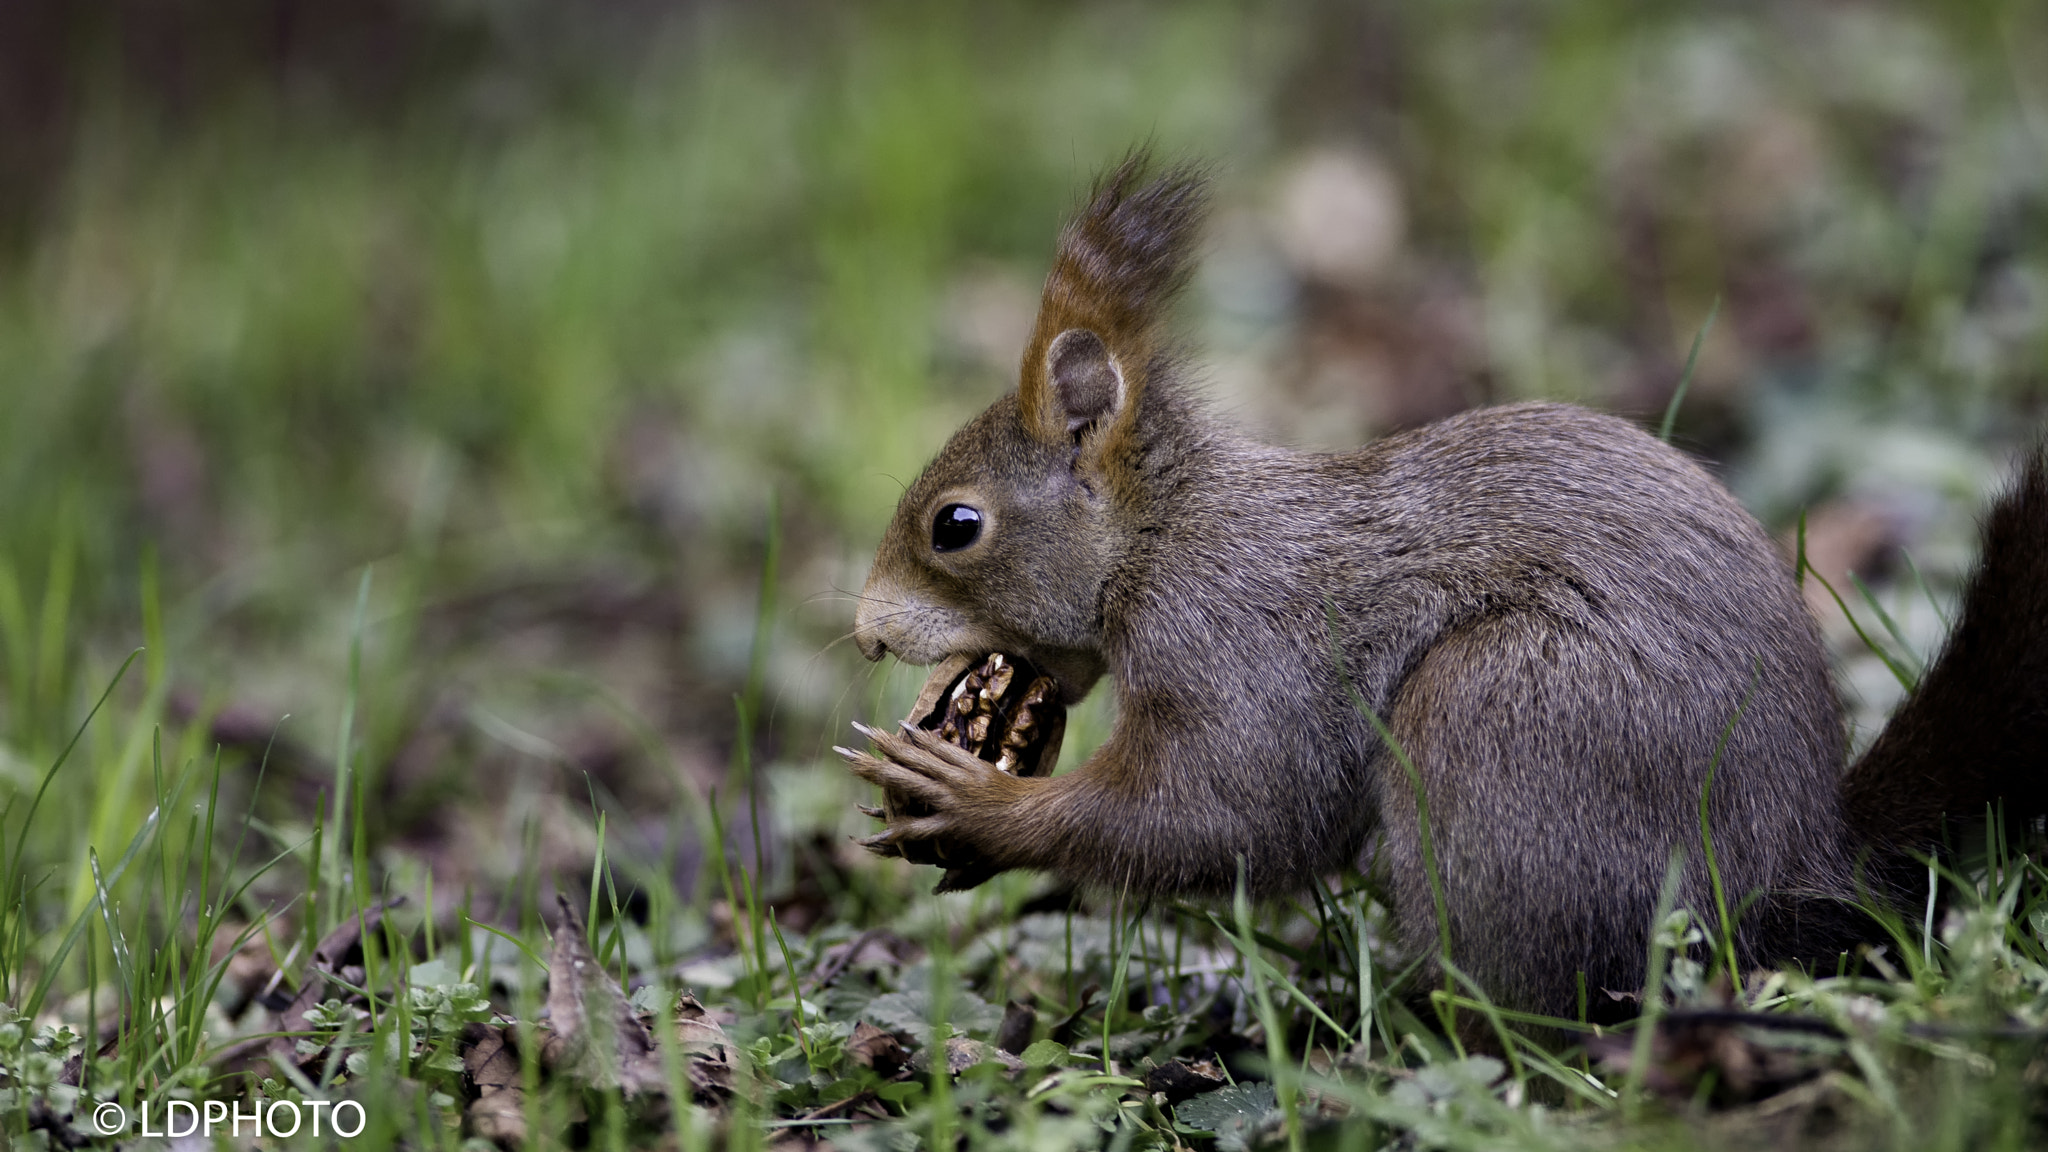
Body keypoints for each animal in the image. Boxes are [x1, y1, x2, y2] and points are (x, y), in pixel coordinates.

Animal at [831, 152, 2048, 1012]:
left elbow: (1228, 808)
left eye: (955, 526)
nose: (866, 632)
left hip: (1502, 719)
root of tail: (1793, 868)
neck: (1165, 537)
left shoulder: (1235, 640)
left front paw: (978, 806)